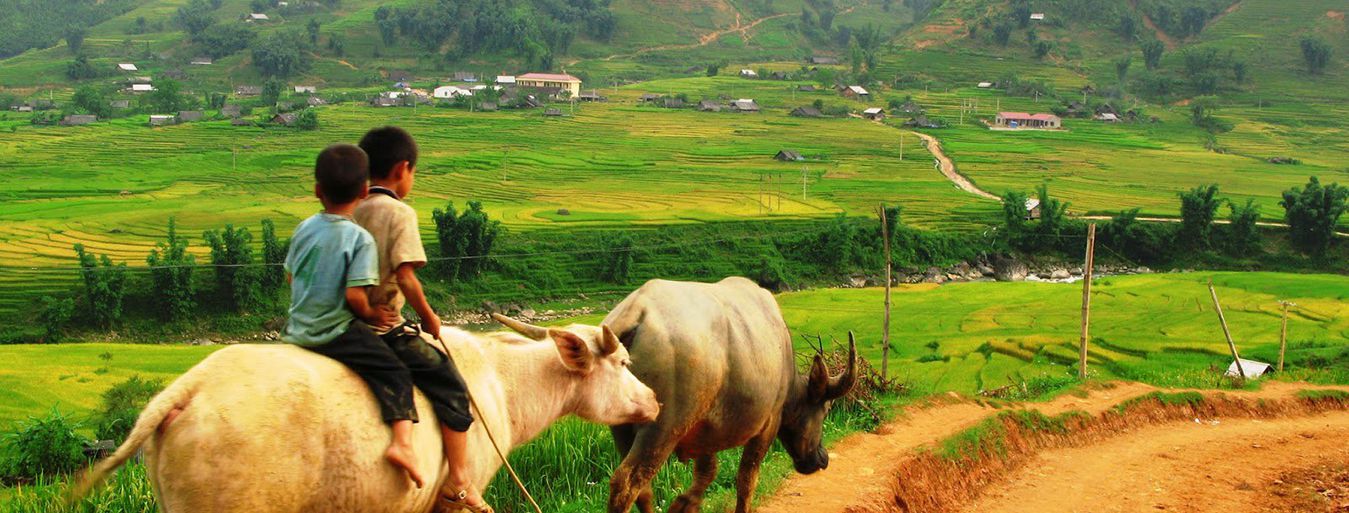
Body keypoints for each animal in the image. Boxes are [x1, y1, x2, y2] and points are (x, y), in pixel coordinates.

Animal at [601, 278, 852, 510]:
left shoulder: (705, 429)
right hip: (663, 427)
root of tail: (635, 314)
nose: (822, 458)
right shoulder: (768, 424)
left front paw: (684, 504)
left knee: (642, 489)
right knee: (626, 483)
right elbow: (746, 479)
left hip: (621, 427)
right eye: (825, 410)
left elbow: (708, 472)